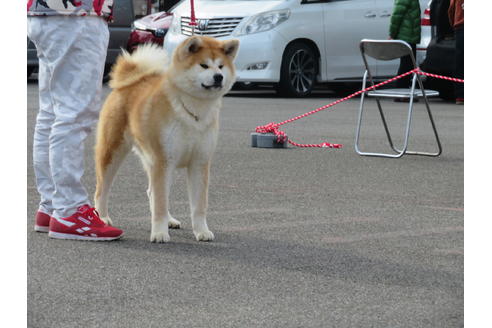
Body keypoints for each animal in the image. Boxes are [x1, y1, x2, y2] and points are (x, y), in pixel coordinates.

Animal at [94, 36, 240, 242]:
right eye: (204, 65)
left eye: (221, 66)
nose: (218, 77)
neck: (194, 111)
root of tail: (129, 81)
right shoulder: (163, 160)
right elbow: (161, 204)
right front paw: (160, 233)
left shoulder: (199, 162)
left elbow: (199, 205)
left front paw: (202, 231)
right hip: (114, 152)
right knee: (102, 190)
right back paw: (103, 217)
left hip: (157, 162)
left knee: (152, 192)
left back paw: (170, 220)